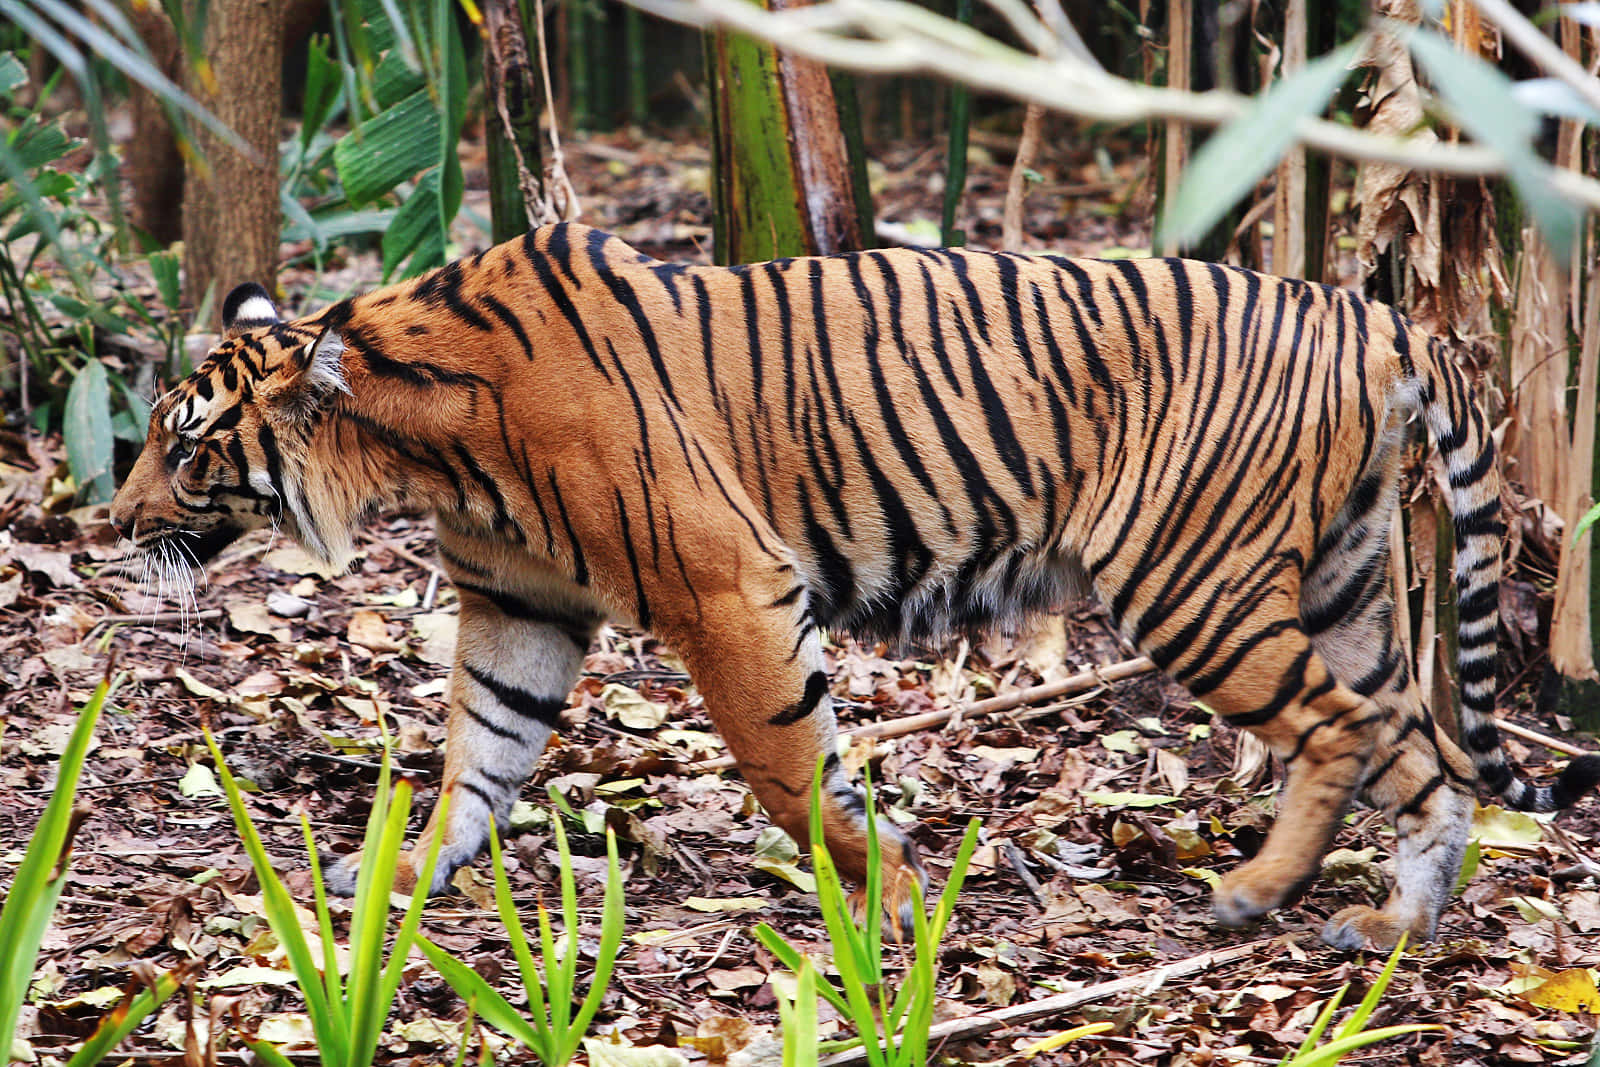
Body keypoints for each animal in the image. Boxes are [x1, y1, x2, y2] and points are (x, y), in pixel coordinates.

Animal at [106, 223, 1593, 953]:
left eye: (182, 445)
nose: (109, 519)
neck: (418, 447)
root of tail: (1373, 308)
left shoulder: (727, 586)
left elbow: (786, 767)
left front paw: (884, 891)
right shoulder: (520, 606)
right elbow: (478, 750)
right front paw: (401, 879)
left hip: (1193, 578)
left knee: (1348, 729)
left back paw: (1261, 895)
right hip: (1346, 583)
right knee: (1416, 743)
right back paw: (1389, 919)